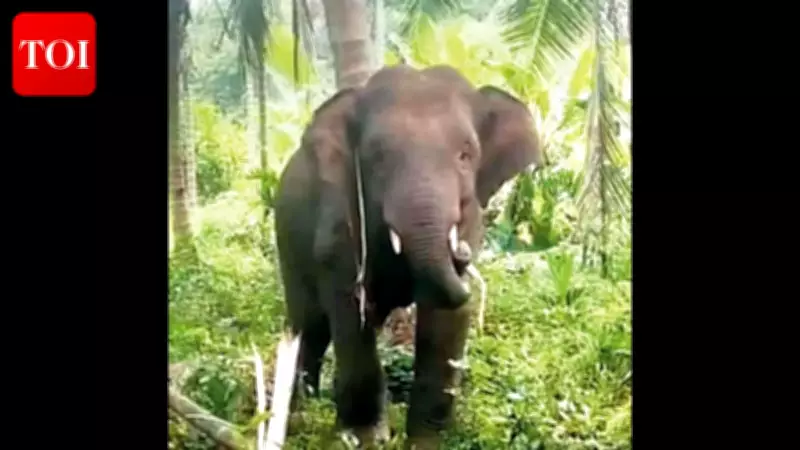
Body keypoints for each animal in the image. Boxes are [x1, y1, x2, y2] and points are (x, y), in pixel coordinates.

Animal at [273, 64, 542, 448]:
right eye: (377, 158)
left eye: (466, 155)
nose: (462, 254)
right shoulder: (338, 220)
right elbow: (348, 306)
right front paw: (366, 438)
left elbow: (442, 319)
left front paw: (425, 441)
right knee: (308, 327)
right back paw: (297, 417)